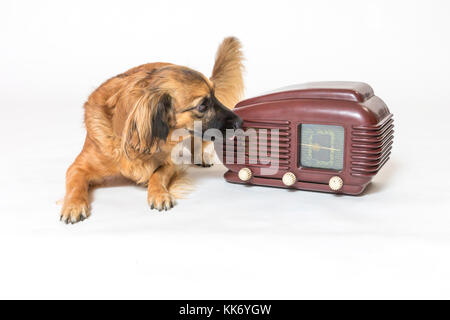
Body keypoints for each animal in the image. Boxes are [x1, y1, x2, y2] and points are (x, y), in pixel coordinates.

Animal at [60, 37, 244, 222]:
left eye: (214, 97)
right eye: (203, 105)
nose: (240, 121)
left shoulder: (170, 163)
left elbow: (157, 175)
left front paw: (159, 194)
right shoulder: (77, 167)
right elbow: (75, 184)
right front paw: (73, 205)